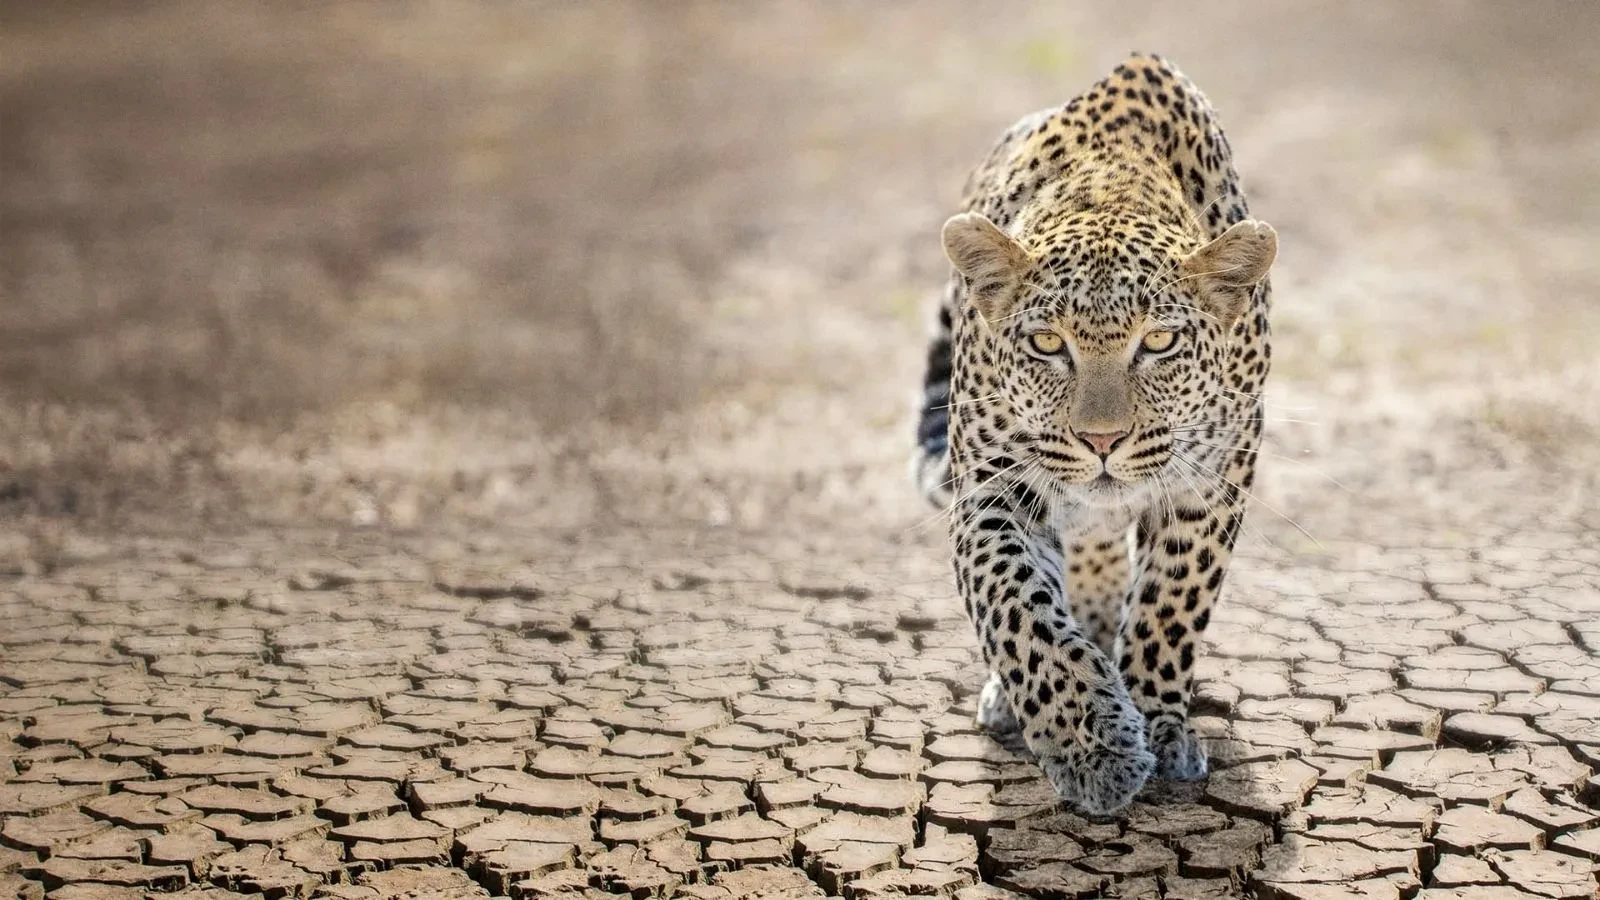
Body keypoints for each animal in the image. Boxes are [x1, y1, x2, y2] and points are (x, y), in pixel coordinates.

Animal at [912, 53, 1276, 816]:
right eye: (1048, 343)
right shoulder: (990, 491)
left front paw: (1157, 722)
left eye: (1160, 342)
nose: (1102, 443)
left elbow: (1169, 605)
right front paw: (1096, 750)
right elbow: (1019, 612)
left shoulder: (1212, 486)